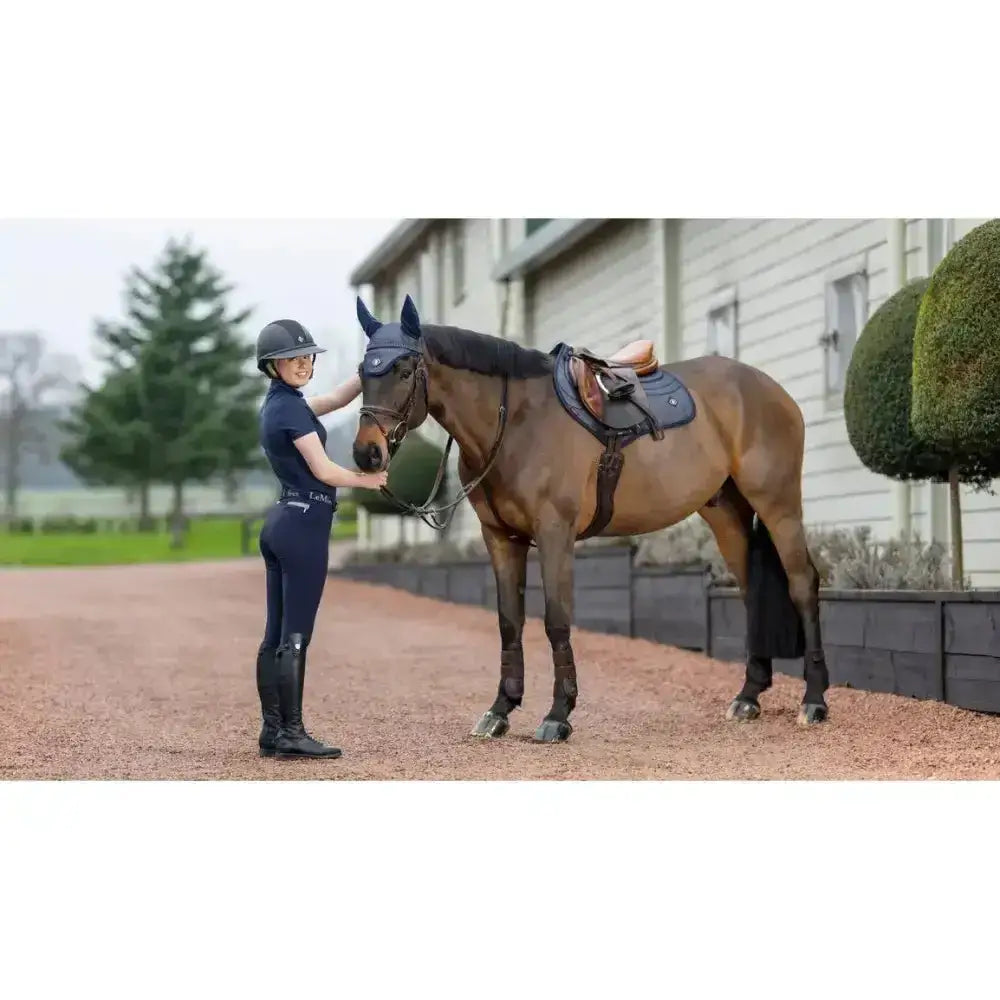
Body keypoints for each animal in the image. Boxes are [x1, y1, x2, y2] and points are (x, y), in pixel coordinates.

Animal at [351, 293, 827, 743]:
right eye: (362, 372)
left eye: (405, 370)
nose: (366, 453)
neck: (517, 421)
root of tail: (771, 390)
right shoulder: (501, 538)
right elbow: (509, 622)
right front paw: (501, 709)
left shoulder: (554, 533)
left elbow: (556, 620)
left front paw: (557, 715)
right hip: (726, 514)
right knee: (751, 592)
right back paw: (748, 696)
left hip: (779, 503)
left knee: (803, 583)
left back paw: (815, 700)